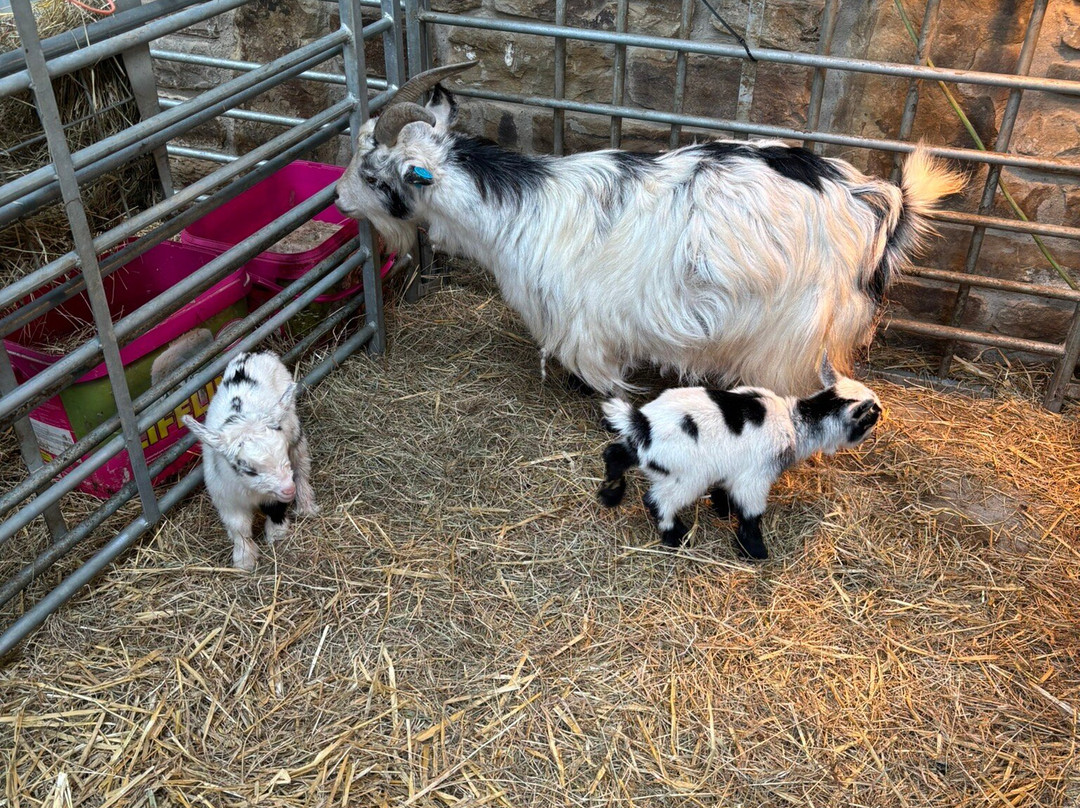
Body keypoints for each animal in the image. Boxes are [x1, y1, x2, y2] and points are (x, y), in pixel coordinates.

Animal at [182, 351, 317, 571]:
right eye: (250, 470)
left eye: (283, 456)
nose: (289, 490)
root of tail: (253, 354)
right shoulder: (227, 499)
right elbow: (239, 528)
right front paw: (244, 560)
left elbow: (275, 508)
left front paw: (276, 533)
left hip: (295, 432)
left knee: (302, 467)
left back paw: (305, 504)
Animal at [336, 62, 964, 397]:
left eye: (371, 172)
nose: (339, 197)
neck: (519, 211)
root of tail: (878, 203)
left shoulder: (586, 326)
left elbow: (604, 377)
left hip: (795, 330)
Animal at [598, 356, 881, 559]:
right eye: (872, 416)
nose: (882, 412)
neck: (795, 423)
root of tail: (643, 424)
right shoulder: (755, 477)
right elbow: (752, 512)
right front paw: (755, 549)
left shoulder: (735, 468)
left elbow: (726, 489)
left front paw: (723, 508)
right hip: (687, 477)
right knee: (657, 500)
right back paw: (676, 536)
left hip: (645, 451)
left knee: (616, 454)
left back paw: (610, 494)